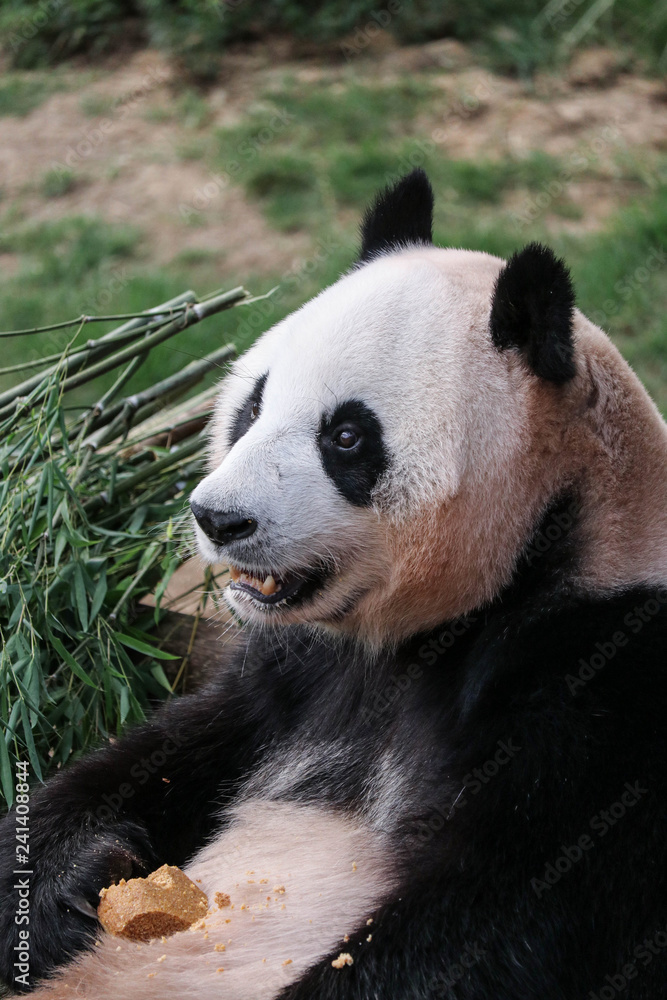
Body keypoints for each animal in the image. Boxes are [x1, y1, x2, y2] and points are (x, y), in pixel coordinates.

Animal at [1, 168, 667, 1000]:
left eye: (346, 436)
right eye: (253, 404)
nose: (217, 518)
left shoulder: (600, 686)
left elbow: (505, 920)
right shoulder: (289, 678)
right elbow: (166, 749)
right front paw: (68, 877)